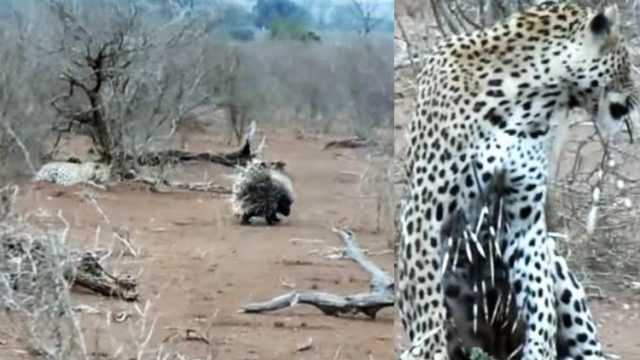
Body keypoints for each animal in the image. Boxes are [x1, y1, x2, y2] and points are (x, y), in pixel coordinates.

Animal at [398, 2, 636, 360]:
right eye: (627, 61)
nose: (635, 98)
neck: (529, 99)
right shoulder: (425, 209)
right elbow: (427, 299)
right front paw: (430, 346)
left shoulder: (525, 219)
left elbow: (540, 299)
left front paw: (541, 349)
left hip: (560, 271)